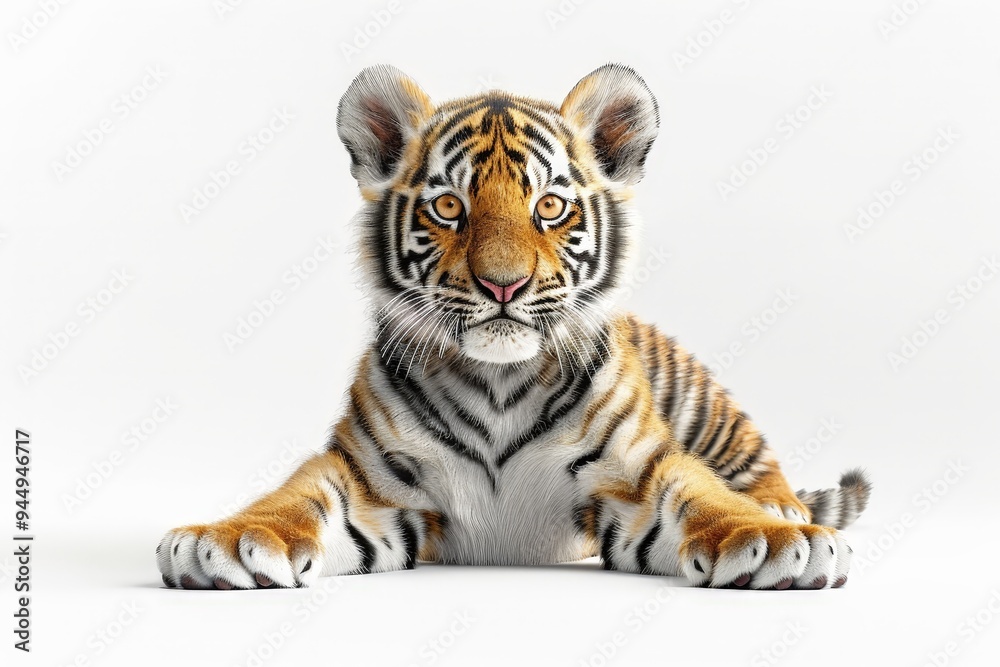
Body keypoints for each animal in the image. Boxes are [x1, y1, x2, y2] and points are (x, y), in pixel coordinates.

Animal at [157, 64, 871, 591]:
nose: (503, 286)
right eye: (449, 207)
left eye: (549, 206)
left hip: (702, 400)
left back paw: (782, 510)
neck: (499, 381)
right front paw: (219, 541)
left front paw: (779, 543)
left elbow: (703, 495)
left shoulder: (637, 473)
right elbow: (292, 498)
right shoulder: (365, 477)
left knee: (753, 461)